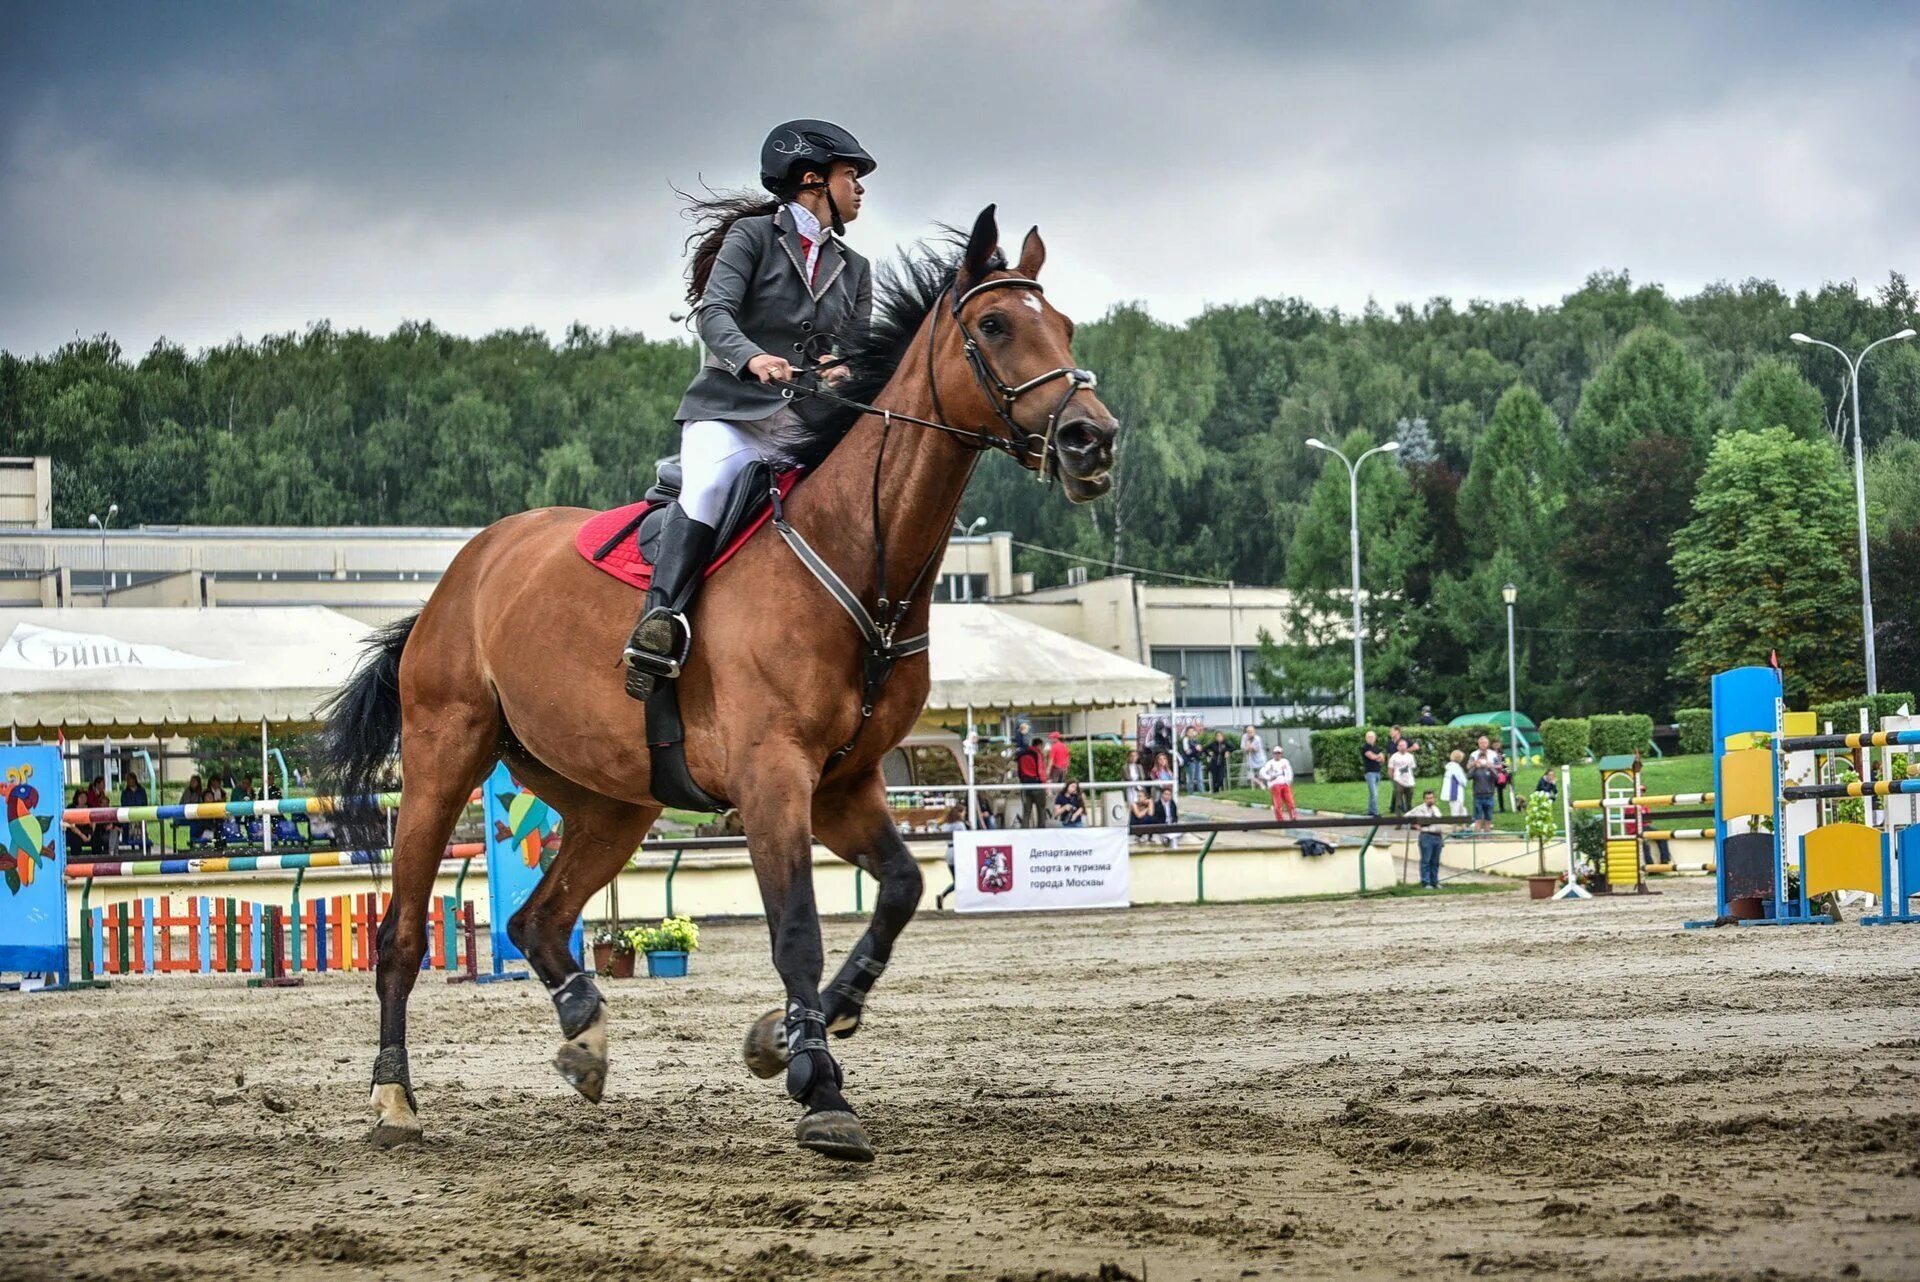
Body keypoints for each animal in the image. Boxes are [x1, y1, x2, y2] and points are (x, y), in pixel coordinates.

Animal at [316, 208, 1121, 1159]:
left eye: (1063, 326)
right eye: (995, 325)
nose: (1092, 439)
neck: (860, 556)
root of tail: (461, 574)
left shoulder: (843, 783)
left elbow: (899, 891)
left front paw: (796, 1032)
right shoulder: (774, 777)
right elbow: (798, 932)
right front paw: (819, 1086)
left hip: (612, 800)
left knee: (535, 919)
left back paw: (584, 1031)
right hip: (445, 758)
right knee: (402, 935)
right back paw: (394, 1098)